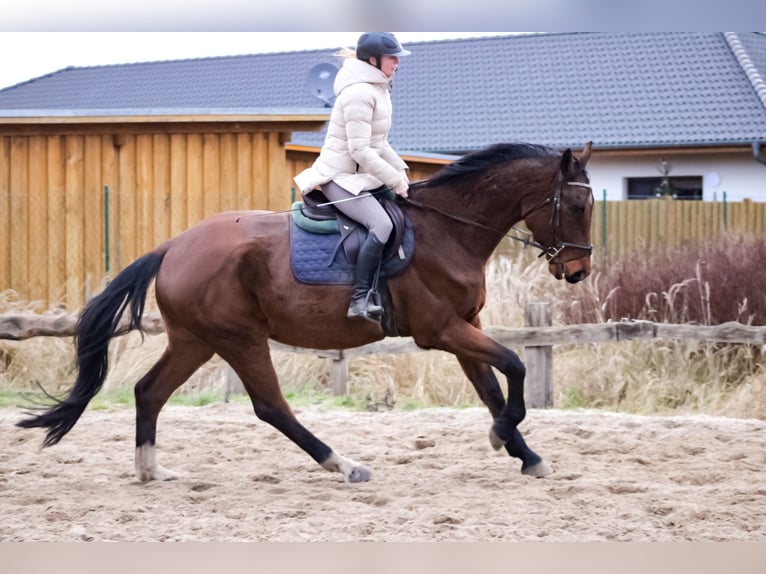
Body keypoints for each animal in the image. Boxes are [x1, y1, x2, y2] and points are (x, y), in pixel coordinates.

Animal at [16, 142, 592, 484]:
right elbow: (515, 367)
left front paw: (525, 454)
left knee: (149, 391)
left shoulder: (465, 328)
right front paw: (504, 436)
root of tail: (174, 246)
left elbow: (493, 388)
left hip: (195, 340)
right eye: (578, 206)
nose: (579, 271)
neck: (448, 230)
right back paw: (343, 463)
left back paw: (152, 471)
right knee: (270, 406)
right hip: (239, 338)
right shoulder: (444, 330)